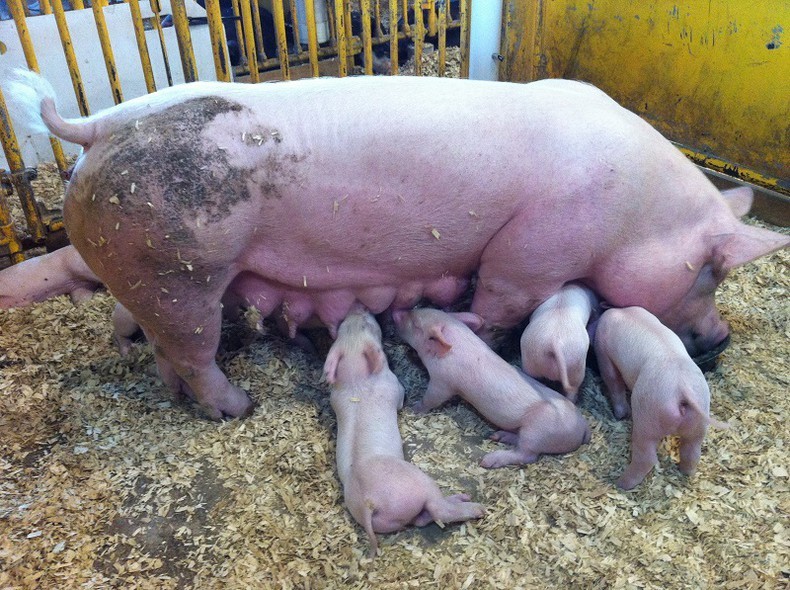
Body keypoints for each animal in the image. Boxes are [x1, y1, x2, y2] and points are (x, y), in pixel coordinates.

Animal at [3, 70, 788, 420]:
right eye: (711, 273)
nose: (720, 340)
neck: (637, 210)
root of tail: (99, 125)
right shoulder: (532, 249)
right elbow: (501, 298)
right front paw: (469, 331)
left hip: (159, 274)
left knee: (170, 351)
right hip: (176, 267)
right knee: (194, 351)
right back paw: (238, 406)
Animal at [324, 308, 486, 556]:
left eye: (344, 326)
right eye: (367, 326)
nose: (359, 308)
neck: (355, 383)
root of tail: (369, 502)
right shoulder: (395, 386)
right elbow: (400, 398)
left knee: (419, 519)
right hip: (418, 483)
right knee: (439, 510)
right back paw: (474, 506)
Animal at [394, 308, 588, 470]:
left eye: (416, 325)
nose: (396, 312)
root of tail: (582, 427)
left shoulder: (442, 382)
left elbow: (431, 399)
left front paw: (414, 408)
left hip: (538, 432)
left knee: (527, 455)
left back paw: (488, 460)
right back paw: (497, 436)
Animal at [592, 308, 732, 492]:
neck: (623, 312)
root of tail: (682, 390)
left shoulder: (603, 350)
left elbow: (612, 380)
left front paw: (620, 415)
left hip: (648, 417)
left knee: (647, 456)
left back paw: (620, 483)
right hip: (698, 421)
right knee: (692, 451)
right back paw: (686, 473)